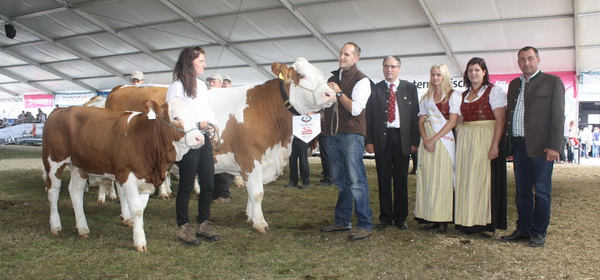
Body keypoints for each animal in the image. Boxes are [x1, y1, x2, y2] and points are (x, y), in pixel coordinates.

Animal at [43, 98, 205, 252]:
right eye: (175, 117)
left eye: (194, 116)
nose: (200, 138)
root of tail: (59, 110)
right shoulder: (127, 175)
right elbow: (137, 209)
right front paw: (140, 242)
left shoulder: (147, 178)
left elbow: (142, 208)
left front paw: (137, 230)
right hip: (53, 161)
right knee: (53, 191)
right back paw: (55, 226)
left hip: (79, 166)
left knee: (75, 191)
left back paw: (82, 228)